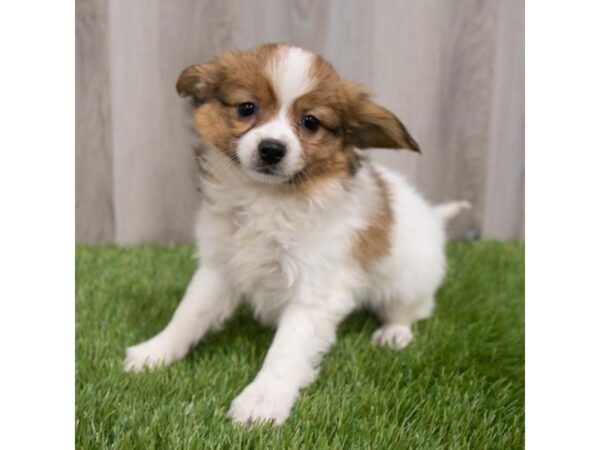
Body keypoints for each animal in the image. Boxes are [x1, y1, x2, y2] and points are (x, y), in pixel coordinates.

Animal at [123, 43, 468, 426]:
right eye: (247, 108)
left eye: (311, 122)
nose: (271, 149)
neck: (267, 198)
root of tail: (432, 217)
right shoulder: (219, 266)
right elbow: (188, 314)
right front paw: (156, 351)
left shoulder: (314, 291)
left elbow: (285, 350)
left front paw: (262, 401)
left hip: (407, 282)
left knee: (411, 310)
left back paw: (394, 333)